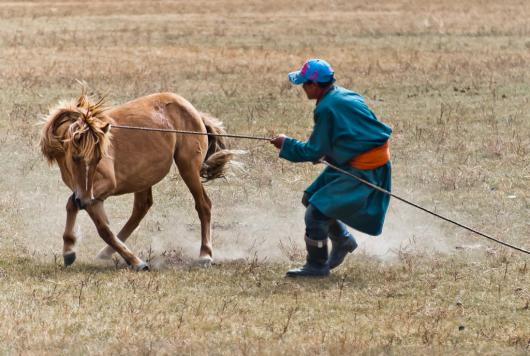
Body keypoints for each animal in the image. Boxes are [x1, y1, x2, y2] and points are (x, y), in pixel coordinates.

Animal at [39, 92, 233, 270]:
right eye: (75, 157)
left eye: (99, 157)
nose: (84, 200)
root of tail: (193, 111)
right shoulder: (89, 195)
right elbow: (99, 225)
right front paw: (69, 251)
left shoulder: (102, 188)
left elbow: (94, 221)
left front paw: (137, 262)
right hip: (143, 178)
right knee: (141, 207)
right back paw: (106, 253)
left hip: (188, 168)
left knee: (203, 205)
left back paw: (205, 255)